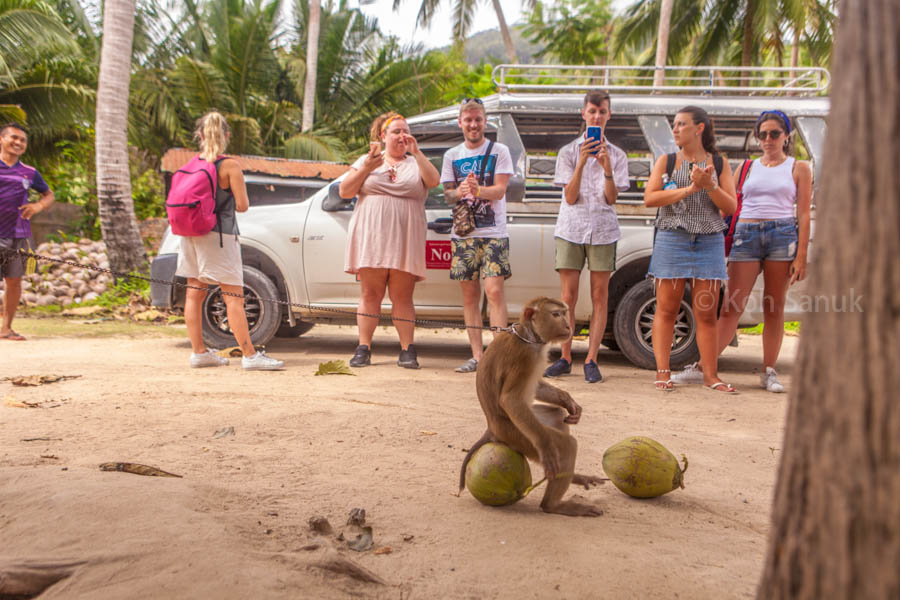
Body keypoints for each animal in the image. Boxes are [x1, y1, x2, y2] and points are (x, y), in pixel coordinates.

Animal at [460, 296, 600, 516]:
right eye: (556, 314)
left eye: (564, 313)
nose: (568, 325)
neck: (530, 337)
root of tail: (492, 429)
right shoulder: (523, 356)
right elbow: (511, 400)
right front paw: (546, 446)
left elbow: (536, 388)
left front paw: (568, 401)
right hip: (516, 434)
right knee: (566, 445)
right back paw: (553, 505)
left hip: (526, 425)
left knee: (556, 417)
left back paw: (573, 477)